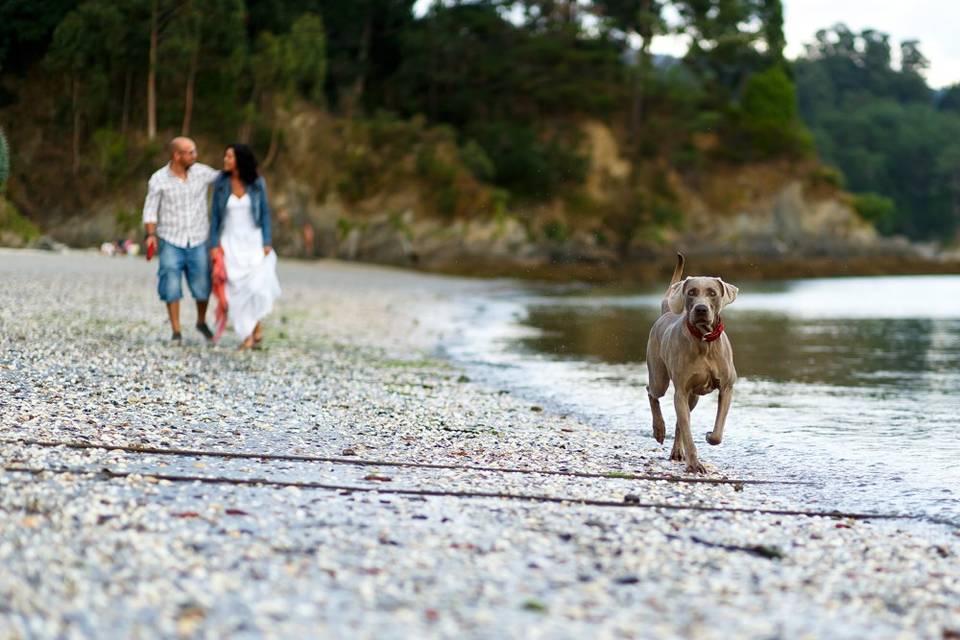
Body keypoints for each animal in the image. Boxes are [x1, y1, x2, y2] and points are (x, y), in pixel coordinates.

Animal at [648, 252, 740, 472]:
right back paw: (659, 429)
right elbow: (688, 433)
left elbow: (717, 434)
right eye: (691, 292)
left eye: (712, 293)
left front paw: (709, 436)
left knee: (680, 422)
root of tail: (666, 311)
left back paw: (676, 452)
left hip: (694, 397)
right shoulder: (681, 391)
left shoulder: (727, 387)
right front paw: (694, 464)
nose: (701, 309)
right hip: (659, 378)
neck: (704, 340)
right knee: (652, 393)